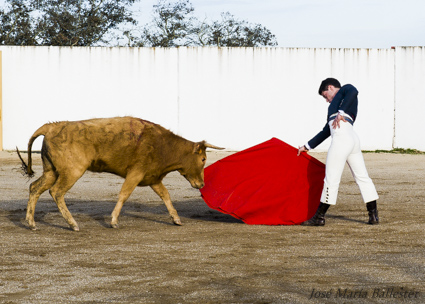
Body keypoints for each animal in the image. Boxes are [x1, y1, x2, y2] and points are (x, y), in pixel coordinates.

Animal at [16, 116, 222, 230]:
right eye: (203, 159)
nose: (201, 184)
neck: (164, 146)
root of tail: (51, 126)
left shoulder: (153, 178)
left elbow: (165, 195)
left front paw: (176, 219)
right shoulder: (136, 173)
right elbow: (124, 194)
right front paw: (114, 221)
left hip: (51, 171)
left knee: (35, 188)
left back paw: (31, 223)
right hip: (72, 171)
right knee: (57, 192)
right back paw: (72, 224)